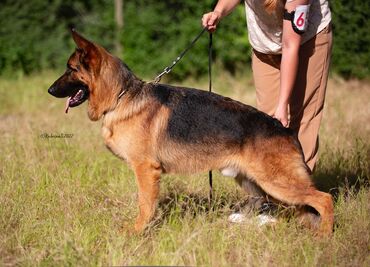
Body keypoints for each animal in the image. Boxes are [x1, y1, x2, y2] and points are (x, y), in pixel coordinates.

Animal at [47, 30, 334, 238]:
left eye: (71, 69)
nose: (49, 90)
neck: (122, 97)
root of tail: (285, 129)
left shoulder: (145, 171)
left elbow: (145, 205)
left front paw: (137, 232)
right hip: (253, 182)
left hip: (276, 182)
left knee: (324, 199)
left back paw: (325, 236)